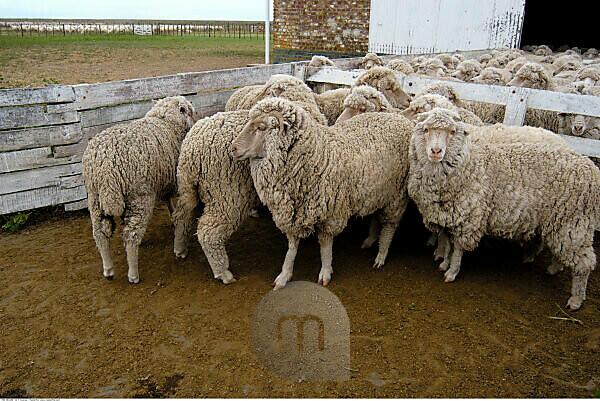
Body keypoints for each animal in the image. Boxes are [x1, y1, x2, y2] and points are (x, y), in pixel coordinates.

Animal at [81, 96, 195, 284]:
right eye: (187, 110)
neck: (165, 121)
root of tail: (106, 166)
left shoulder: (163, 179)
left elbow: (167, 198)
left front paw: (172, 213)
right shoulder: (173, 177)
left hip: (95, 198)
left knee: (100, 234)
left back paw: (108, 269)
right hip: (139, 197)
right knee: (131, 237)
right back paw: (133, 274)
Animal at [172, 110, 258, 284]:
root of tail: (190, 150)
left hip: (188, 188)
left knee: (182, 215)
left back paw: (180, 248)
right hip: (228, 194)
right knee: (208, 232)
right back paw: (223, 273)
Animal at [408, 108, 600, 310]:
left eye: (452, 132)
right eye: (426, 129)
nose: (436, 151)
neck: (466, 165)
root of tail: (591, 168)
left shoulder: (468, 219)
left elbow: (457, 249)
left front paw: (452, 272)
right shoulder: (446, 216)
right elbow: (446, 241)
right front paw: (444, 262)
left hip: (573, 222)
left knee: (584, 264)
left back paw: (576, 299)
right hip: (558, 223)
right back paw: (554, 267)